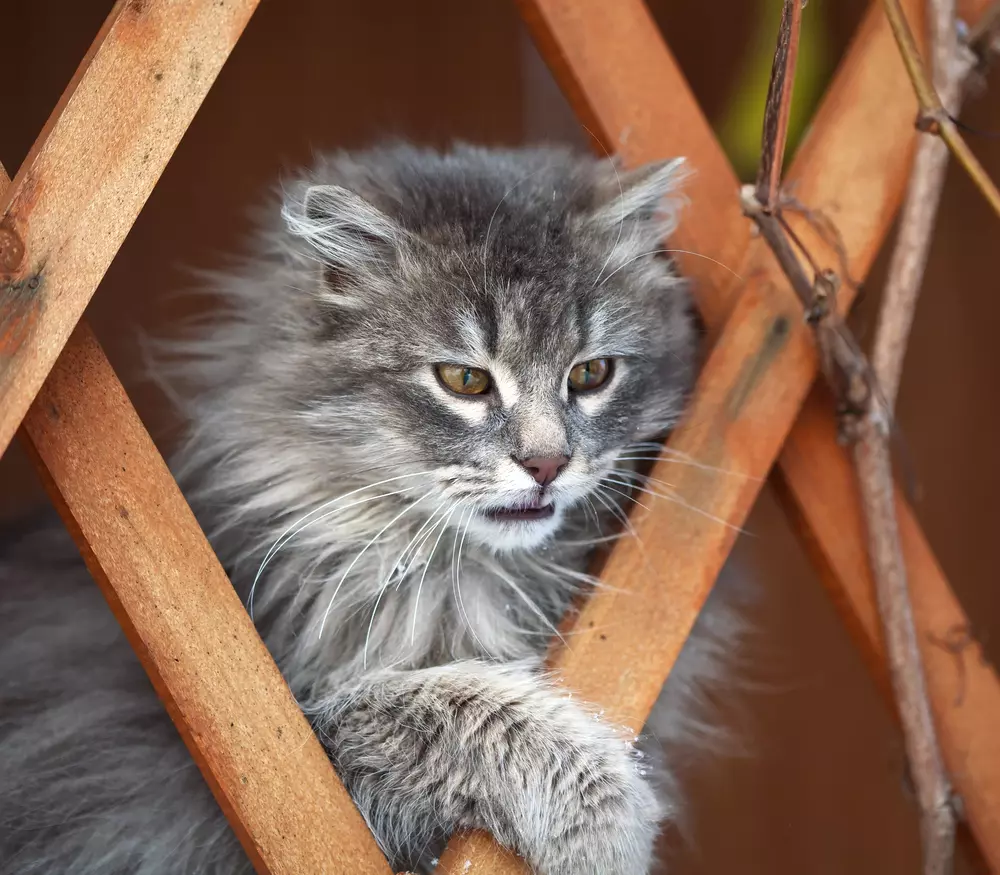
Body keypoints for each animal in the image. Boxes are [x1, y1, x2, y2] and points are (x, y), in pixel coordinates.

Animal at [0, 145, 736, 875]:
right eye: (464, 380)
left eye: (590, 374)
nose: (547, 463)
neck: (461, 580)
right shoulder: (238, 768)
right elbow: (437, 703)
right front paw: (607, 816)